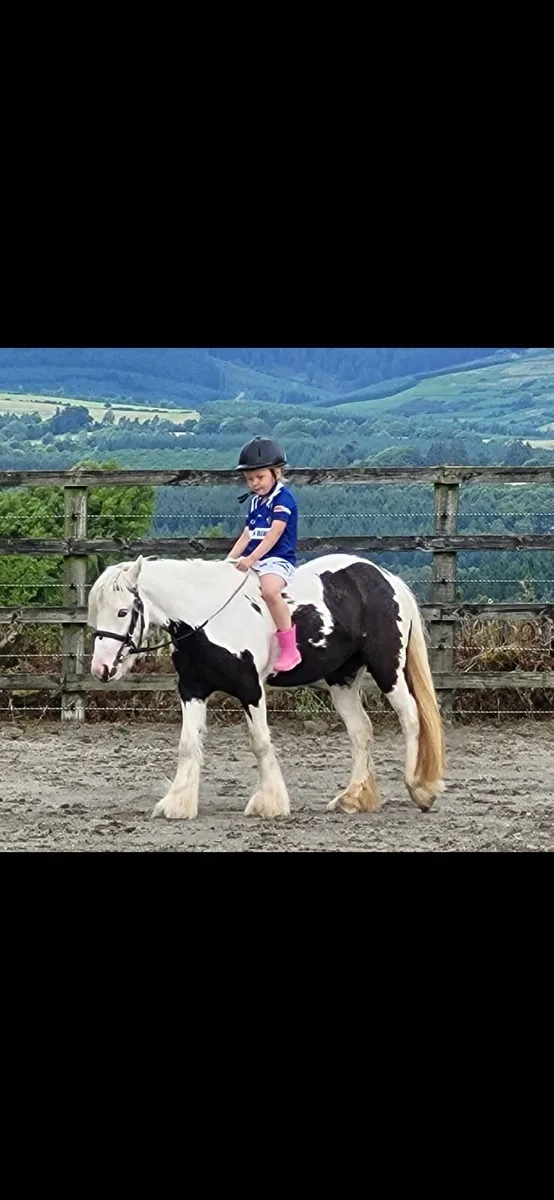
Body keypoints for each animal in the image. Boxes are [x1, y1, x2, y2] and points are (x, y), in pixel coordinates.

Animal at [87, 553, 446, 820]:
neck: (208, 616)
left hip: (388, 669)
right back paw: (353, 798)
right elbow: (187, 744)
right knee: (361, 731)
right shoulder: (192, 690)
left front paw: (270, 804)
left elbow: (259, 742)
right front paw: (177, 804)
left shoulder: (251, 689)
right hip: (342, 680)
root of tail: (385, 578)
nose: (101, 669)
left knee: (411, 717)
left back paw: (419, 789)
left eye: (123, 611)